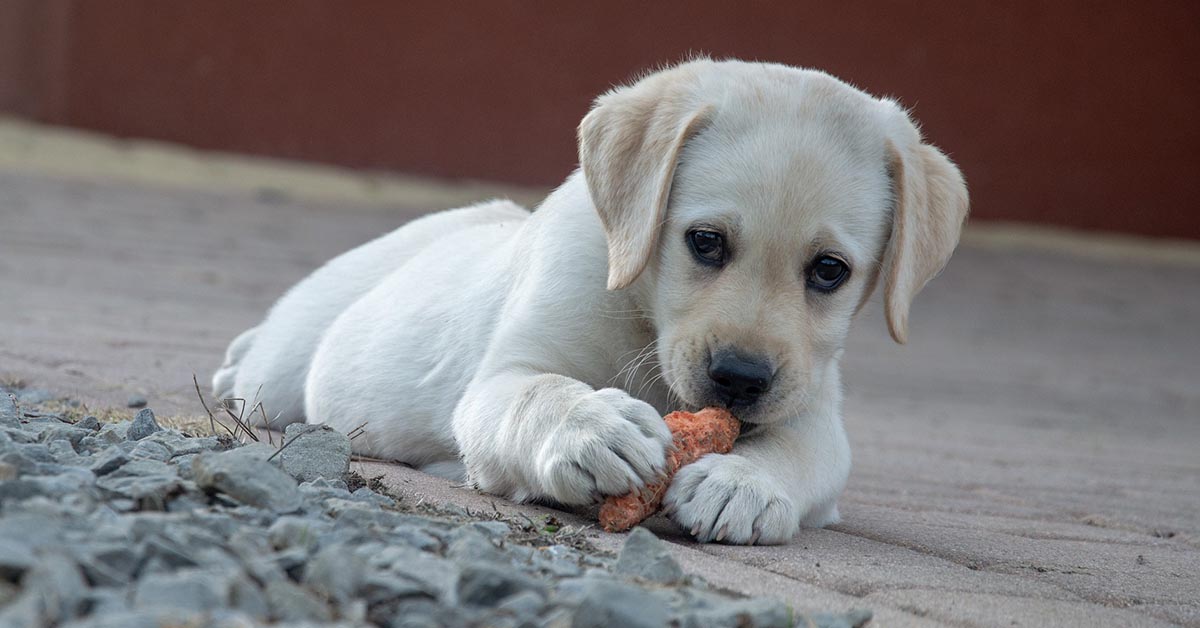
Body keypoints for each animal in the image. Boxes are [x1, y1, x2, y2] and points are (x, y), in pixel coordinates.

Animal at [213, 57, 964, 545]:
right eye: (705, 242)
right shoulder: (501, 378)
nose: (740, 379)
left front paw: (743, 483)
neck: (644, 319)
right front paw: (592, 428)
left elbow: (800, 450)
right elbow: (538, 392)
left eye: (830, 271)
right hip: (285, 369)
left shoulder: (813, 408)